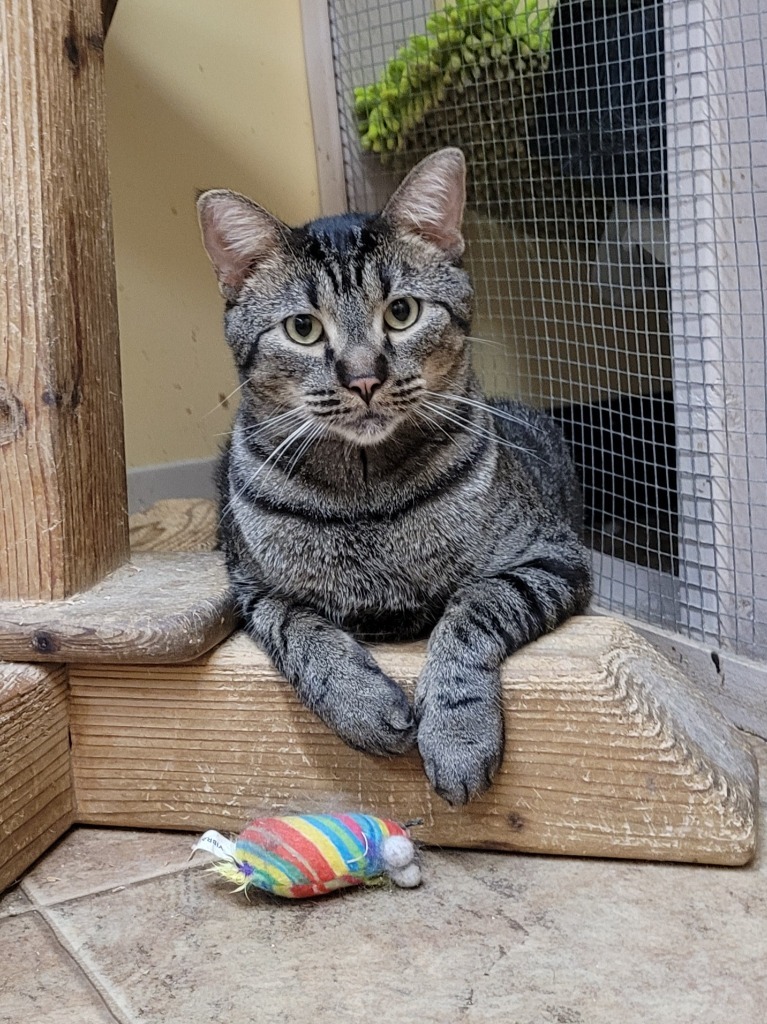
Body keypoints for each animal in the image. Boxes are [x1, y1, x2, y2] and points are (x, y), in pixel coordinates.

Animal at [194, 149, 589, 806]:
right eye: (303, 328)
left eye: (401, 312)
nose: (363, 378)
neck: (366, 495)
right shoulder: (253, 588)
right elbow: (301, 630)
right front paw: (360, 702)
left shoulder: (554, 555)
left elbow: (475, 604)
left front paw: (458, 732)